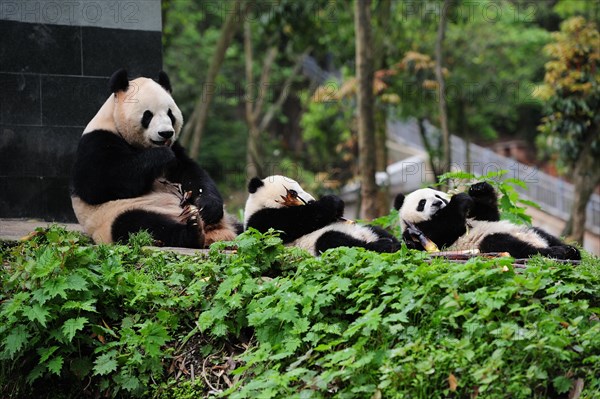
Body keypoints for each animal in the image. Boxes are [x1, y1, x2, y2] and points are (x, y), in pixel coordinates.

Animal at [70, 69, 237, 250]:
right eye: (148, 115)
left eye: (170, 114)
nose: (166, 133)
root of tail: (216, 234)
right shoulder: (96, 141)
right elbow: (97, 183)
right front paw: (162, 155)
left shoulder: (176, 148)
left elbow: (191, 173)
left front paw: (209, 207)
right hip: (115, 216)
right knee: (140, 224)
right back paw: (192, 232)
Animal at [241, 175, 400, 256]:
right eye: (293, 192)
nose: (311, 200)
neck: (260, 204)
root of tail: (365, 236)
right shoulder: (262, 223)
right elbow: (296, 220)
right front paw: (332, 202)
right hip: (318, 243)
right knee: (336, 242)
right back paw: (385, 245)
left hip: (364, 228)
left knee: (377, 230)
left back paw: (396, 243)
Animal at [394, 182, 580, 262]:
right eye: (422, 203)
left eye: (438, 196)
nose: (438, 203)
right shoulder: (420, 233)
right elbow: (443, 230)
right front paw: (460, 199)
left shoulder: (477, 216)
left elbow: (488, 215)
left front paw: (478, 189)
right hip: (488, 244)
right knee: (512, 246)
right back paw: (559, 252)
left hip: (531, 231)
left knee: (544, 234)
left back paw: (572, 250)